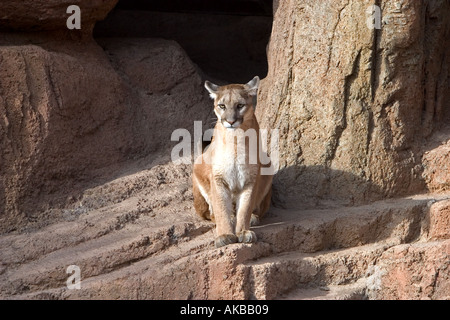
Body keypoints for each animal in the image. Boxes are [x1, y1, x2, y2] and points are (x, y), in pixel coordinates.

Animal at [192, 77, 272, 248]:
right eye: (222, 106)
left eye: (240, 105)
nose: (230, 121)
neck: (235, 138)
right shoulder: (218, 179)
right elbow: (221, 208)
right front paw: (225, 235)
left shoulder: (250, 178)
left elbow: (245, 208)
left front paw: (243, 232)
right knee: (211, 212)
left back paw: (253, 218)